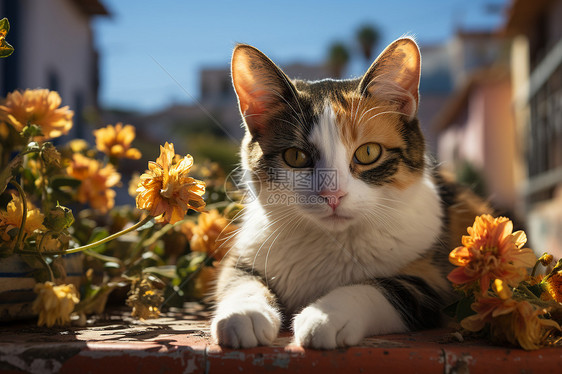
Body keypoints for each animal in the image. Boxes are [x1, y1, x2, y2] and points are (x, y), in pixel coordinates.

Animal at [210, 36, 490, 350]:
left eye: (368, 153)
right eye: (295, 157)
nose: (333, 194)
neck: (332, 241)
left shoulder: (432, 283)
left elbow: (381, 289)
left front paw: (326, 315)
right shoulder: (243, 255)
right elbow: (239, 280)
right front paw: (245, 314)